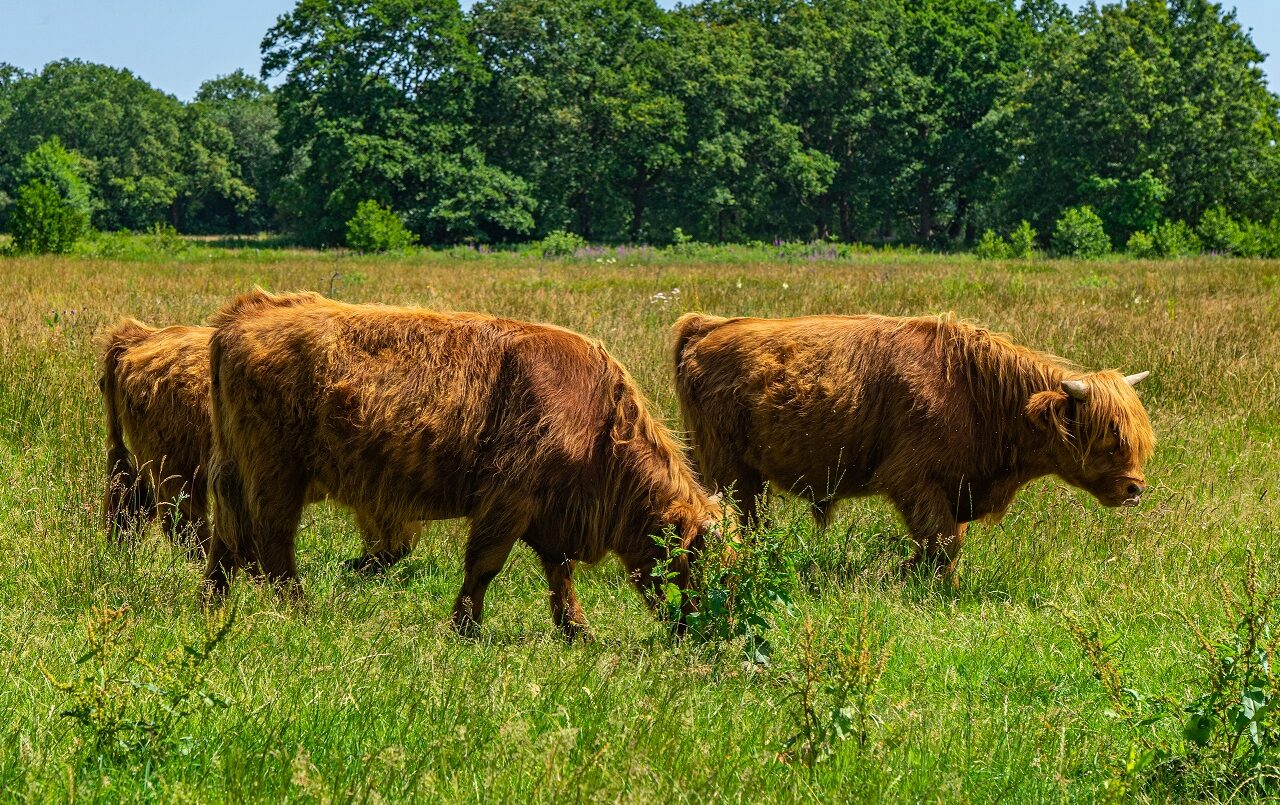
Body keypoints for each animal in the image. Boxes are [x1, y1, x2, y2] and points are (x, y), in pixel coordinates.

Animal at [202, 286, 721, 634]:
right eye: (705, 569)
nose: (707, 630)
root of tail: (242, 315)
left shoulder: (548, 516)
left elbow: (559, 573)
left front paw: (576, 631)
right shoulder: (509, 499)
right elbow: (485, 566)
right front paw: (465, 627)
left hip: (235, 472)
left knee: (226, 540)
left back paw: (212, 604)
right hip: (273, 475)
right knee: (271, 546)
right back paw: (299, 612)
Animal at [675, 310, 1157, 581]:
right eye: (1108, 437)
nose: (1134, 488)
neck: (979, 395)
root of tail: (707, 328)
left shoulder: (957, 490)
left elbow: (950, 545)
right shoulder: (915, 481)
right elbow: (942, 545)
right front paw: (915, 579)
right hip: (730, 469)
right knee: (742, 519)